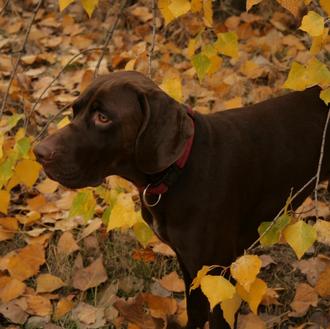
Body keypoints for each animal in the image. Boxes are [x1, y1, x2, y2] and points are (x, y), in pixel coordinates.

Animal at [34, 70, 330, 326]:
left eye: (103, 117)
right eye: (75, 110)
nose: (39, 152)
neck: (178, 171)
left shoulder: (218, 274)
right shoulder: (190, 266)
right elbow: (195, 311)